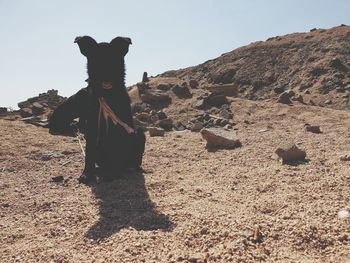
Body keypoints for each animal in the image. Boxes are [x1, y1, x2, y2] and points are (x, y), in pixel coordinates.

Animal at [49, 36, 145, 185]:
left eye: (113, 59)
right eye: (95, 60)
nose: (105, 75)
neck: (106, 95)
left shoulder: (120, 128)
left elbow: (117, 153)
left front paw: (114, 174)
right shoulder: (91, 129)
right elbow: (89, 154)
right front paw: (87, 173)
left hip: (139, 133)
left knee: (133, 160)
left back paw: (128, 167)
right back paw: (100, 169)